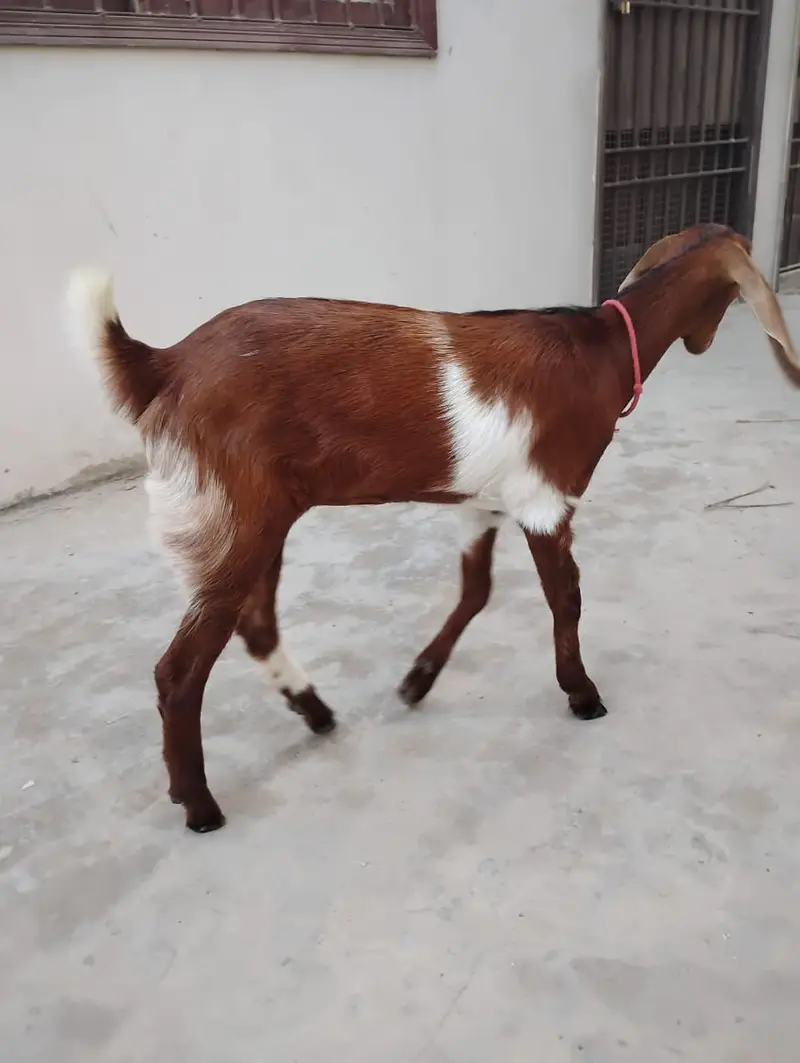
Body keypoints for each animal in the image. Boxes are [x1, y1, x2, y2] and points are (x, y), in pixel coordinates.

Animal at [66, 223, 800, 833]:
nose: (705, 342)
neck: (603, 350)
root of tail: (164, 364)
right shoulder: (547, 496)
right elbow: (566, 597)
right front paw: (582, 693)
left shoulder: (485, 500)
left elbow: (475, 588)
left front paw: (418, 679)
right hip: (235, 516)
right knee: (180, 670)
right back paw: (199, 803)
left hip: (259, 520)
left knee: (256, 624)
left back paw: (316, 711)